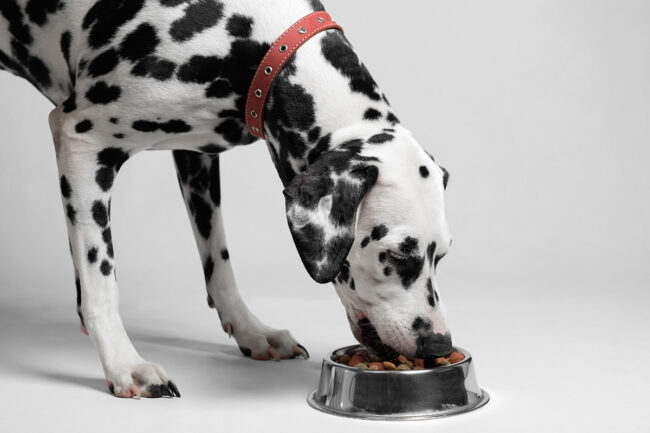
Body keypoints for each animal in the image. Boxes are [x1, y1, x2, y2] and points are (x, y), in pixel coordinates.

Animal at [1, 0, 450, 398]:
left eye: (441, 256)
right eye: (396, 255)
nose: (439, 346)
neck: (255, 40)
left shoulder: (196, 155)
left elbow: (219, 262)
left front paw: (252, 330)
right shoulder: (82, 141)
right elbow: (100, 278)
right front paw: (124, 364)